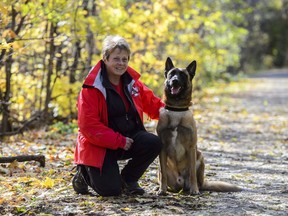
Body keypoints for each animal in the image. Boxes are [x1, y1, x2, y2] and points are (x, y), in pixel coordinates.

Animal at [156, 57, 242, 196]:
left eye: (183, 75)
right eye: (171, 74)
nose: (174, 81)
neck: (176, 110)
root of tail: (180, 184)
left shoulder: (191, 148)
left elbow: (192, 173)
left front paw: (194, 190)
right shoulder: (162, 149)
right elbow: (163, 174)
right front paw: (161, 190)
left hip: (200, 156)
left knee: (197, 180)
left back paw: (196, 187)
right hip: (160, 170)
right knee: (164, 177)